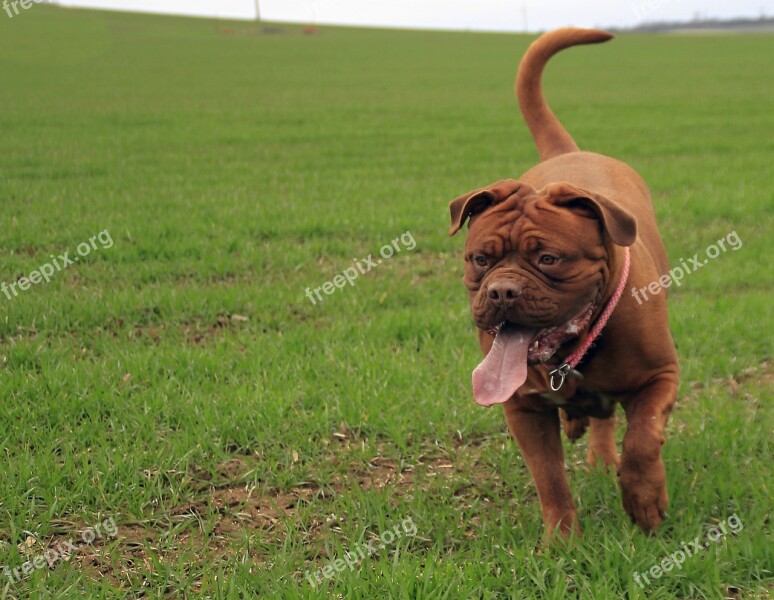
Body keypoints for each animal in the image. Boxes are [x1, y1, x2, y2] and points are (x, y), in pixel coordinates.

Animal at [448, 28, 680, 540]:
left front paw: (644, 500)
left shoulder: (661, 376)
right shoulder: (523, 407)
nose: (502, 290)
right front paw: (561, 541)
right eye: (481, 260)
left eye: (548, 259)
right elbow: (548, 475)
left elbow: (642, 438)